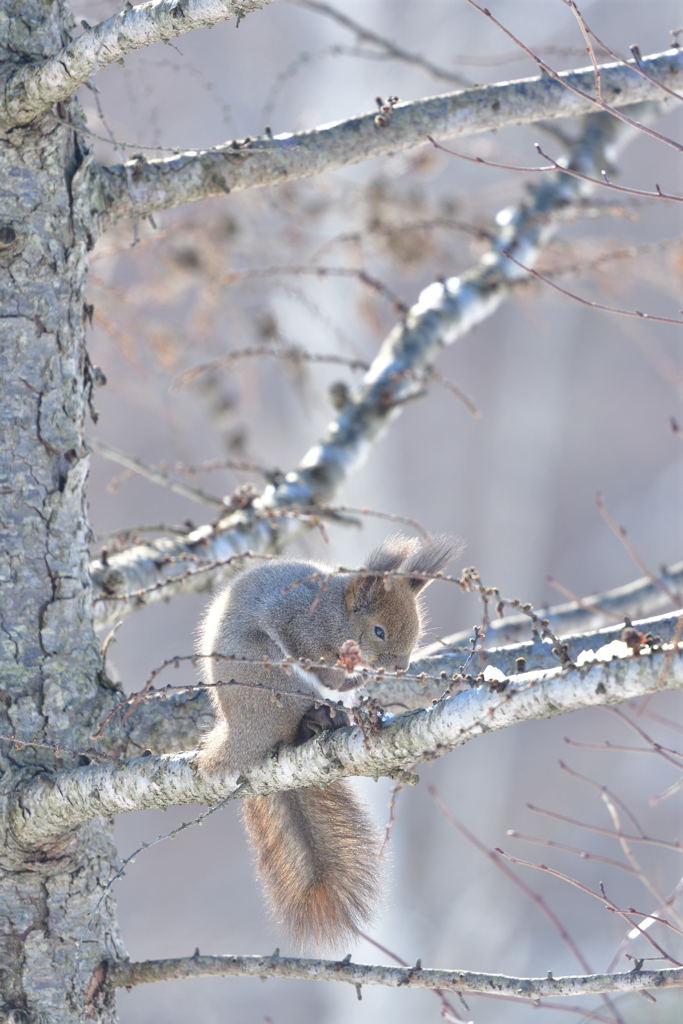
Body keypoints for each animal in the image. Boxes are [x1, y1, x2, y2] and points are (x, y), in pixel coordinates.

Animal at [196, 536, 454, 942]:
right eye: (378, 631)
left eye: (417, 626)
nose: (400, 667)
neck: (338, 613)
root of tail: (245, 738)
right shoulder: (298, 623)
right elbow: (314, 659)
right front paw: (351, 677)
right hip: (272, 676)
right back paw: (316, 721)